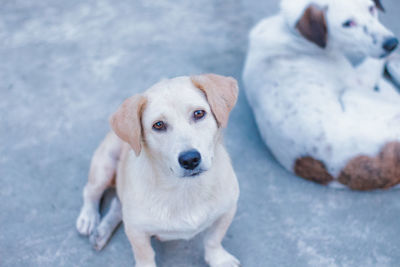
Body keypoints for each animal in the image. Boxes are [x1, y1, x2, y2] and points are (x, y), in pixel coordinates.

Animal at [76, 75, 241, 267]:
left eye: (199, 113)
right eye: (159, 125)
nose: (190, 159)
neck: (186, 189)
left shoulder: (227, 211)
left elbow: (213, 240)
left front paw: (219, 259)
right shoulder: (136, 230)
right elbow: (145, 254)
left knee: (117, 205)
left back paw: (101, 232)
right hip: (104, 167)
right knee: (91, 192)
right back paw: (89, 219)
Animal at [242, 0, 400, 191]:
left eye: (371, 8)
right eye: (347, 23)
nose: (392, 43)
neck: (290, 31)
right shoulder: (358, 81)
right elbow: (374, 62)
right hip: (353, 94)